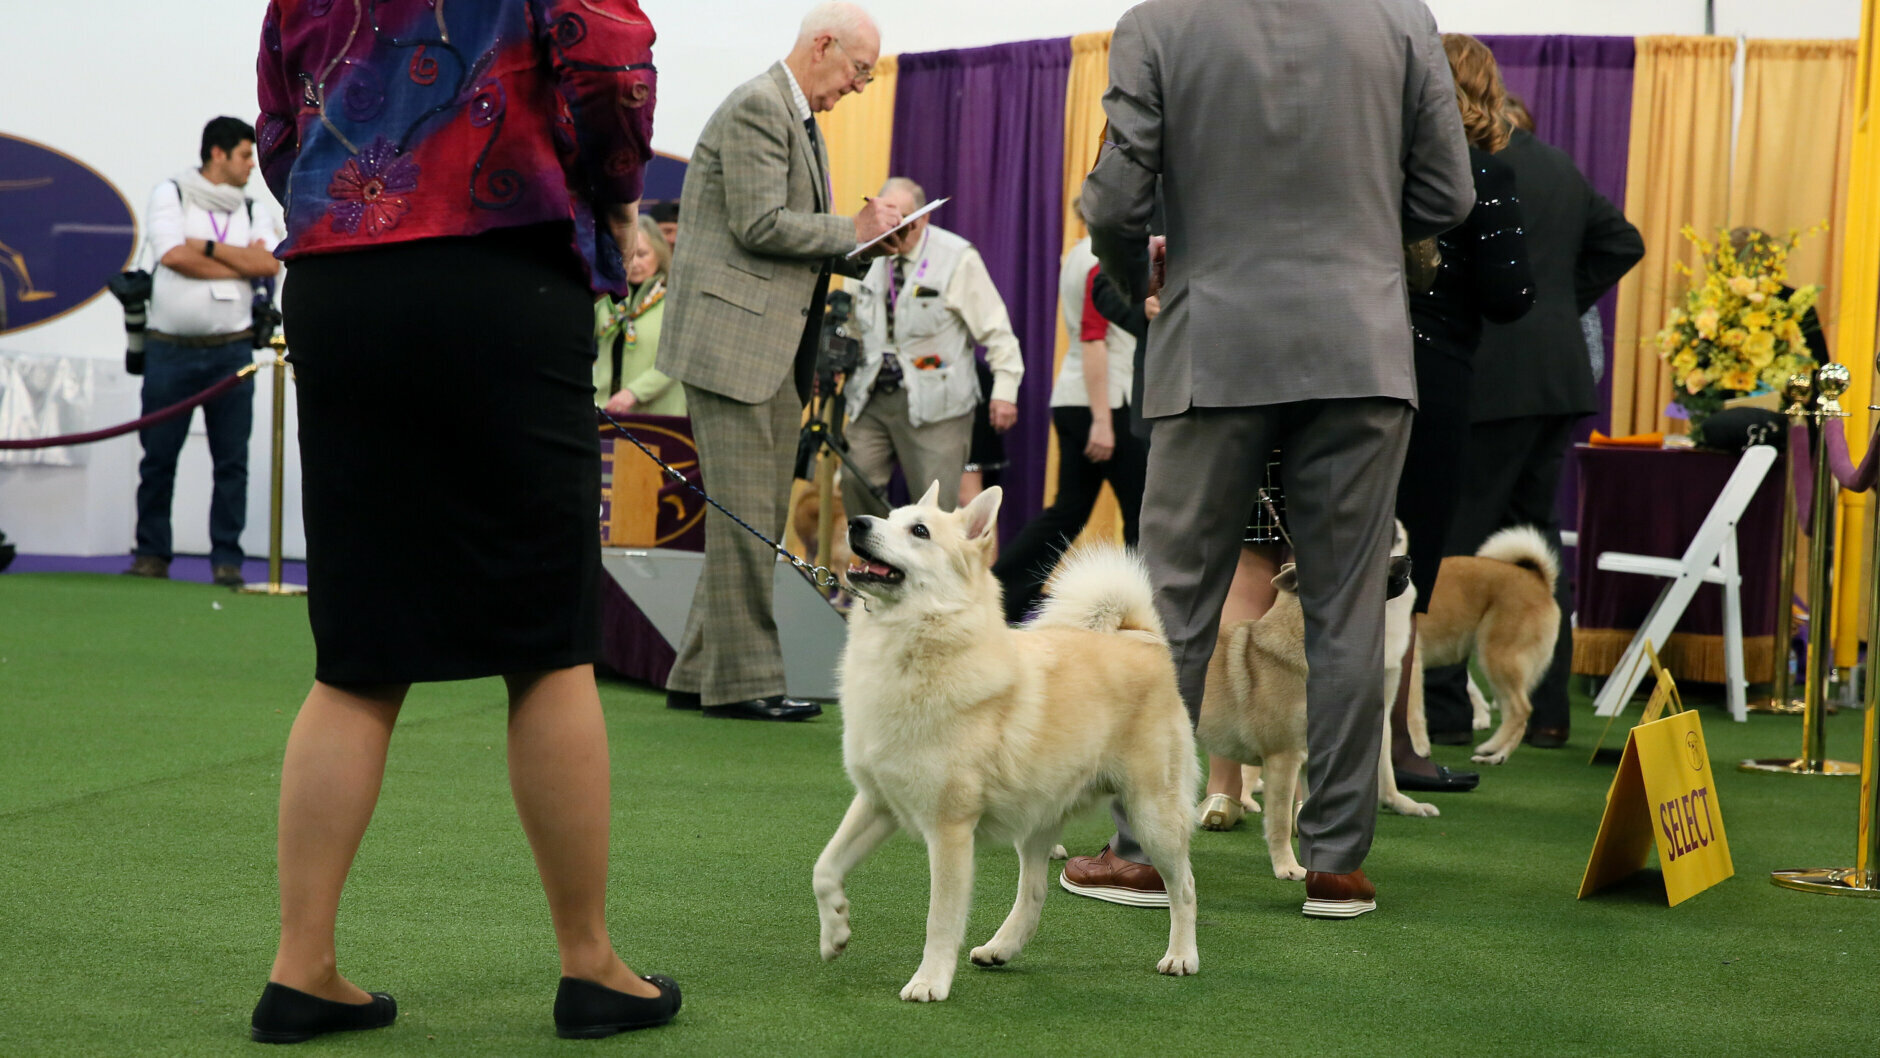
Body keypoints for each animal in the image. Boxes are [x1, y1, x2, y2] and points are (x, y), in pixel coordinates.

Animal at [815, 484, 1195, 1007]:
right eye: (889, 516)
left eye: (919, 531)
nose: (856, 523)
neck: (917, 645)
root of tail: (1144, 640)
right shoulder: (877, 802)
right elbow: (824, 869)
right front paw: (835, 932)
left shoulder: (950, 830)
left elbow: (940, 918)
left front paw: (930, 981)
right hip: (1037, 822)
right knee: (1034, 895)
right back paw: (1000, 948)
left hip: (1152, 815)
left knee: (1184, 887)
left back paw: (1182, 956)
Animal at [1413, 526, 1564, 766]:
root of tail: (1538, 580)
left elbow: (1413, 715)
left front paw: (1419, 750)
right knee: (1515, 716)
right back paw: (1495, 757)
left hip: (1498, 660)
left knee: (1521, 711)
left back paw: (1489, 747)